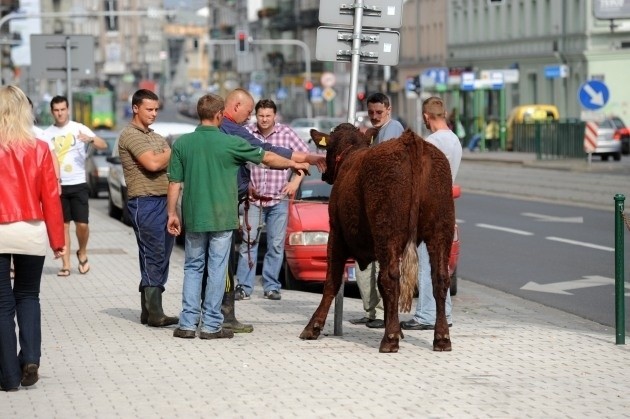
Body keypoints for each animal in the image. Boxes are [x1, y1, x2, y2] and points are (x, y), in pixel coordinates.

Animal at [298, 123, 456, 352]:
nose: (325, 174)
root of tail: (410, 140)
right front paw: (397, 328)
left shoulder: (336, 233)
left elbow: (332, 282)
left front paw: (313, 327)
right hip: (440, 230)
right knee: (440, 278)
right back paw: (441, 337)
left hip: (387, 230)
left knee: (391, 278)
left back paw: (389, 339)